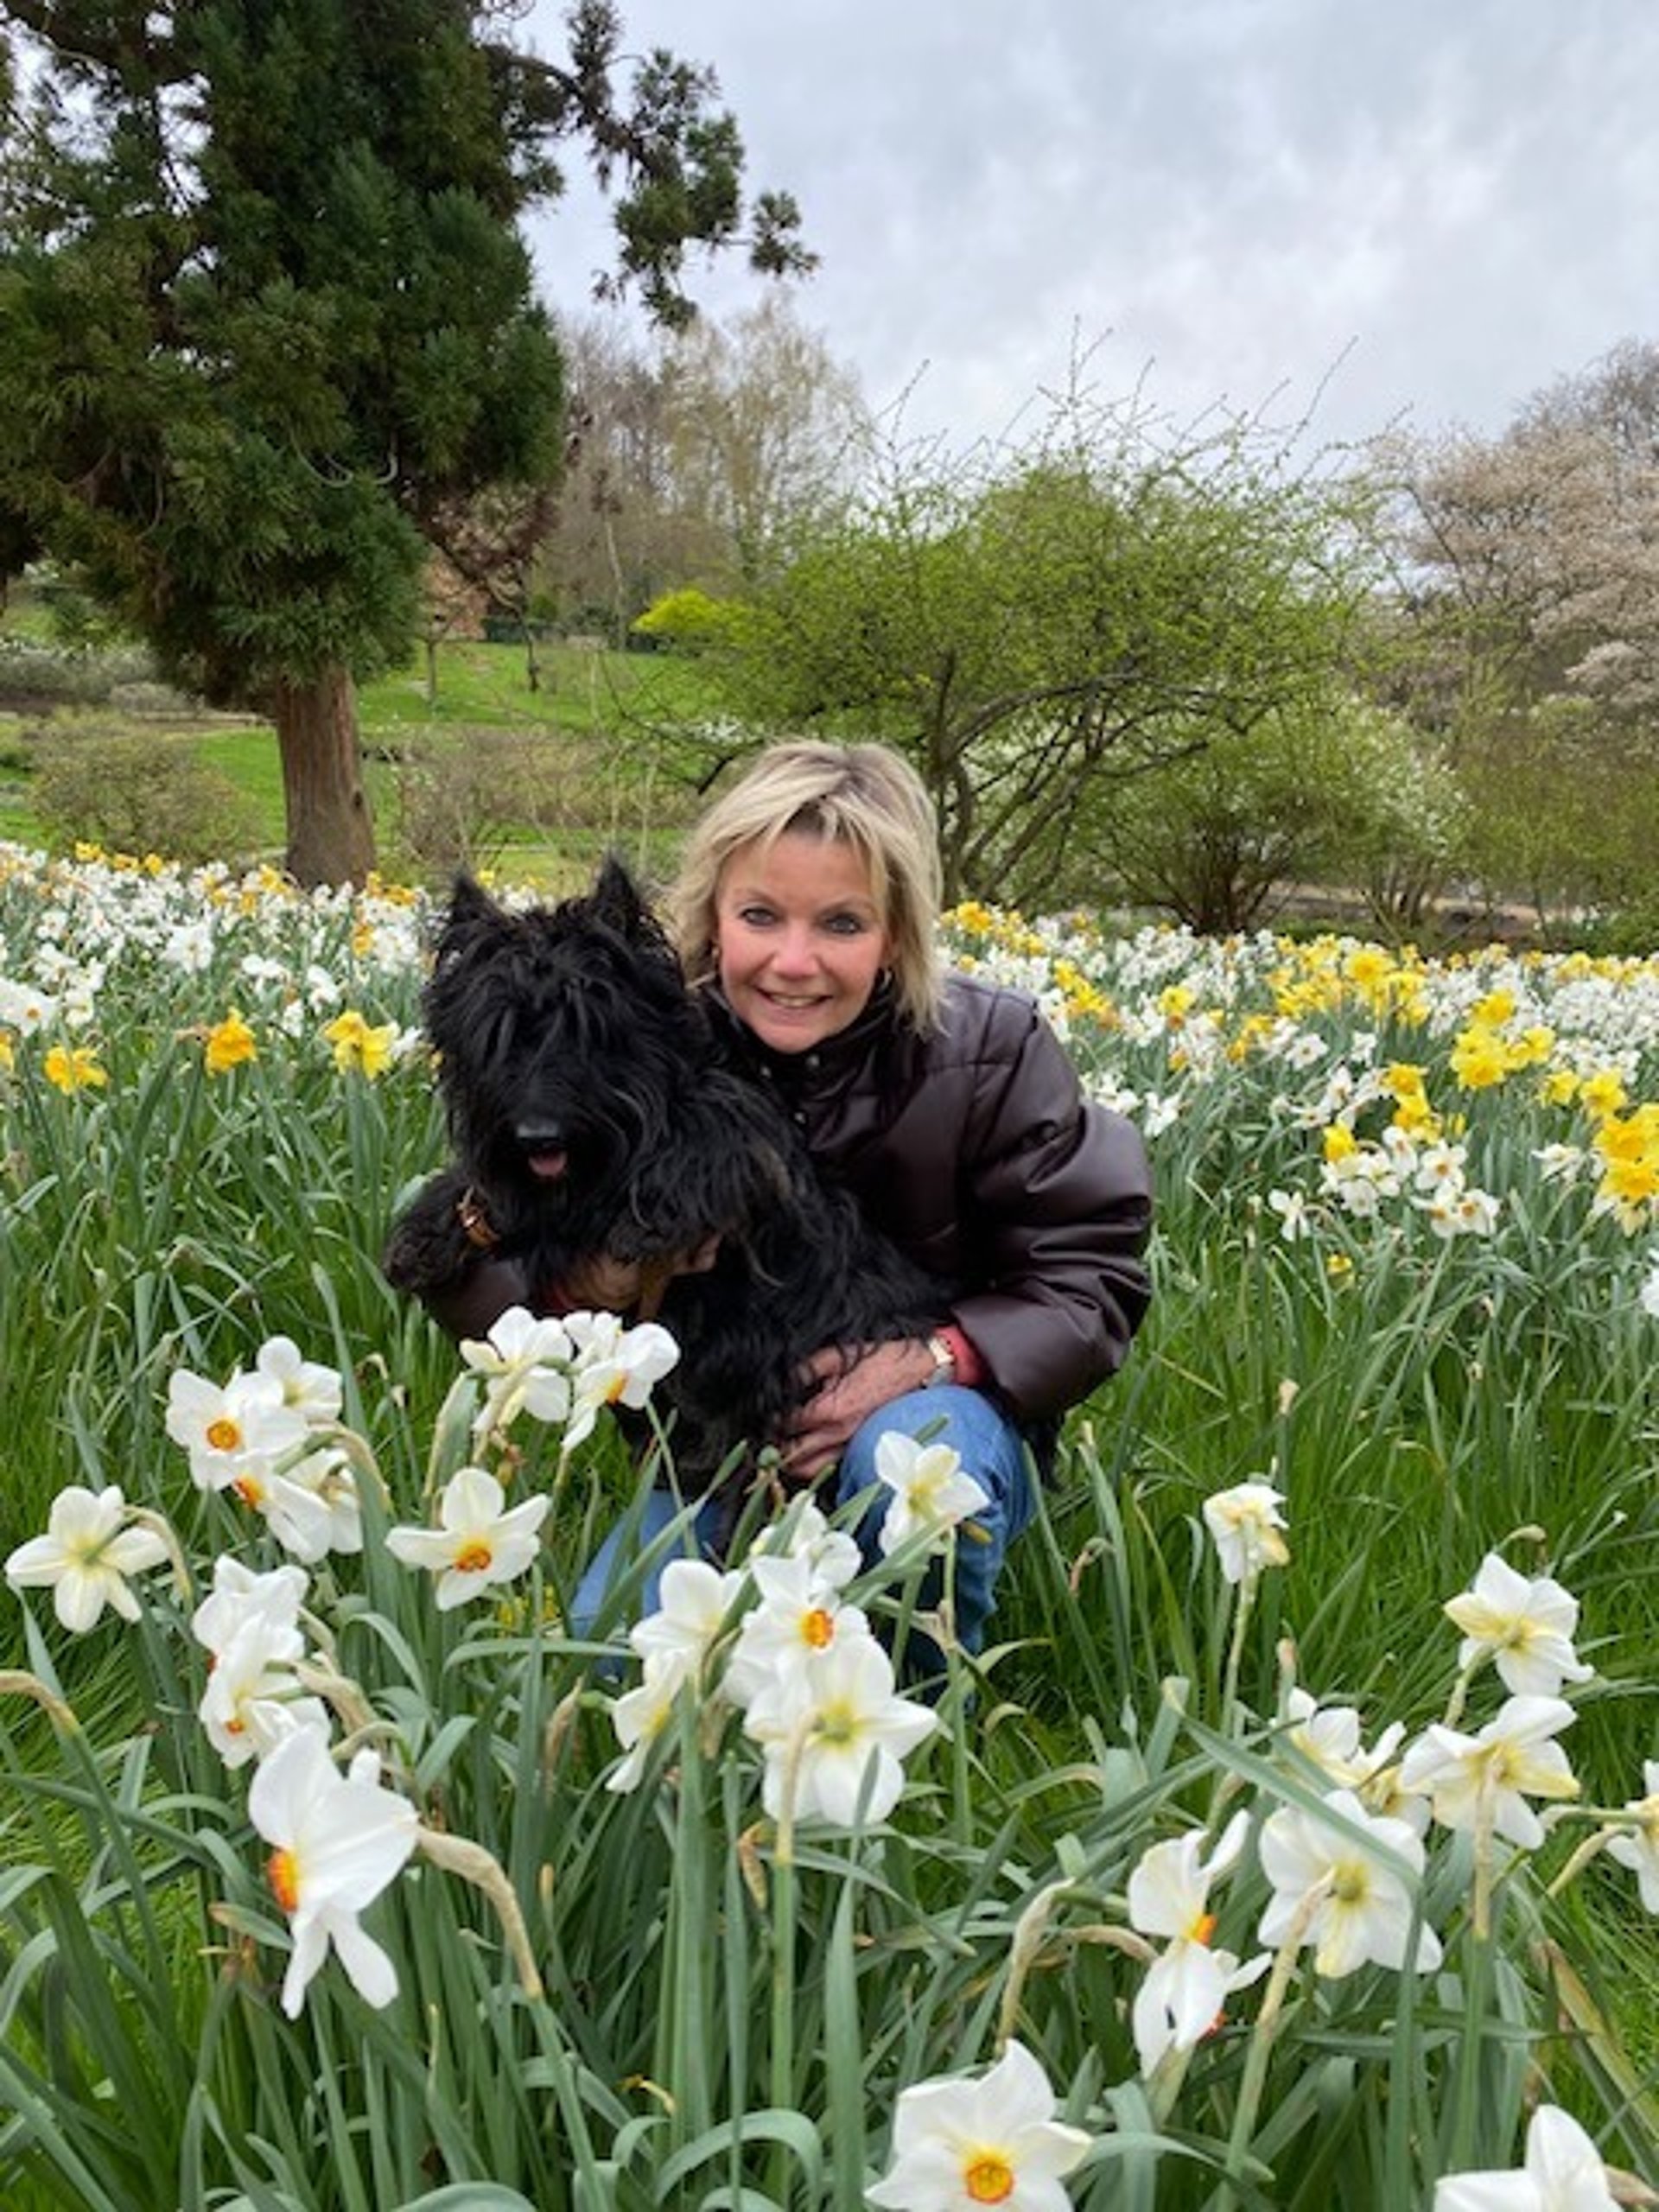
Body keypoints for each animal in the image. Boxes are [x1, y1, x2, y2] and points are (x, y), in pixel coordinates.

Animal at [380, 862, 946, 1503]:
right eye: (497, 1036)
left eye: (588, 1029)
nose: (537, 1136)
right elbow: (490, 1191)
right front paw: (424, 1236)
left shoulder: (746, 1157)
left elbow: (720, 1140)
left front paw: (651, 1215)